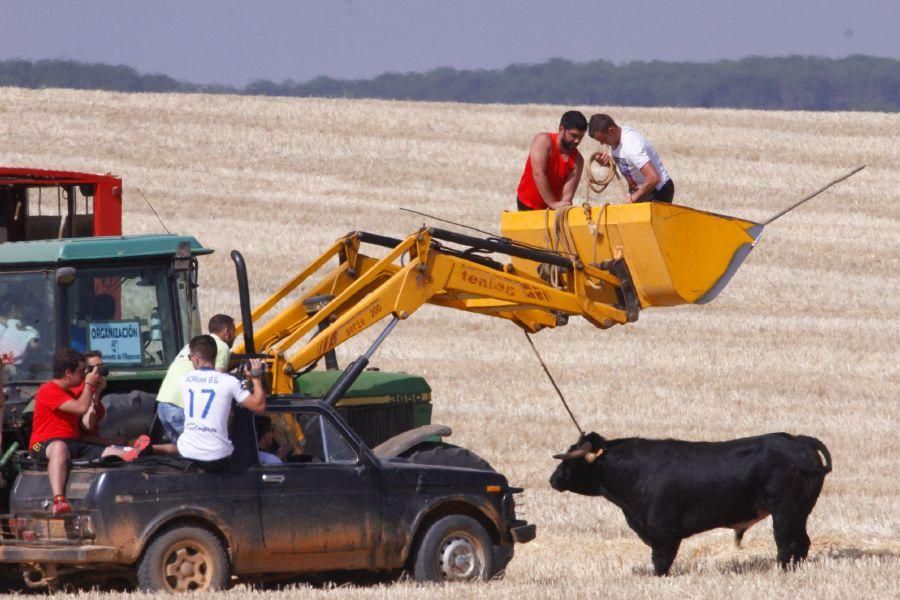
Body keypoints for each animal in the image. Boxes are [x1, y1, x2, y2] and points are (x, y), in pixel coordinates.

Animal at [552, 432, 832, 576]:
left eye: (571, 460)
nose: (553, 479)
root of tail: (798, 440)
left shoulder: (663, 530)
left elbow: (661, 560)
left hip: (785, 512)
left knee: (786, 544)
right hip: (800, 512)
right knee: (802, 543)